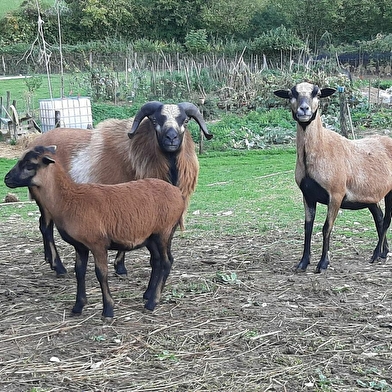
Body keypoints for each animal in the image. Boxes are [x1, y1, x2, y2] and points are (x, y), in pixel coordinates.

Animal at [4, 145, 185, 320]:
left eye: (29, 165)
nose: (6, 179)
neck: (68, 200)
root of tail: (178, 193)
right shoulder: (80, 246)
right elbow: (79, 272)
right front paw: (78, 306)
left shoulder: (98, 243)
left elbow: (101, 274)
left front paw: (108, 310)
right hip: (152, 236)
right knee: (157, 261)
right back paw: (148, 294)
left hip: (163, 232)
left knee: (166, 262)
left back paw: (152, 302)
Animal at [28, 102, 213, 278]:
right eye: (154, 120)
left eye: (186, 120)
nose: (171, 138)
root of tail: (36, 141)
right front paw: (120, 266)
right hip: (44, 197)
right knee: (45, 227)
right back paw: (58, 267)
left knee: (43, 225)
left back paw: (49, 260)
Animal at [274, 82, 392, 272]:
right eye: (291, 94)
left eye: (317, 93)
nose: (304, 109)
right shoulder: (307, 195)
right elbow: (308, 228)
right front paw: (303, 263)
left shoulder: (336, 194)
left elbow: (326, 228)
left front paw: (323, 264)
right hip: (369, 195)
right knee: (380, 219)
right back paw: (383, 252)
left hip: (389, 192)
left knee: (386, 220)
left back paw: (376, 254)